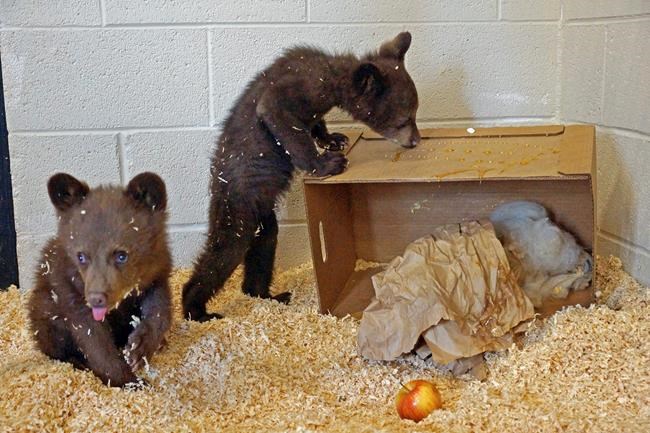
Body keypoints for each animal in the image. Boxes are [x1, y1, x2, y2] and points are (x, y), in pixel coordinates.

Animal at [28, 172, 172, 387]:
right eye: (81, 256)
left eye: (122, 255)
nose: (96, 298)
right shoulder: (70, 291)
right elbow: (94, 340)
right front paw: (129, 382)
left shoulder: (158, 274)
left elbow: (160, 312)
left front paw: (140, 348)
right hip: (45, 306)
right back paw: (76, 362)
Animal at [182, 32, 421, 322]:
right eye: (404, 119)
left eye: (415, 113)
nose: (416, 141)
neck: (332, 79)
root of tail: (216, 185)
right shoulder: (298, 91)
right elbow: (281, 120)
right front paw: (327, 163)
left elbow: (314, 124)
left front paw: (333, 139)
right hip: (237, 207)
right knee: (224, 251)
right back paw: (197, 310)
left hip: (262, 216)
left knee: (264, 245)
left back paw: (268, 294)